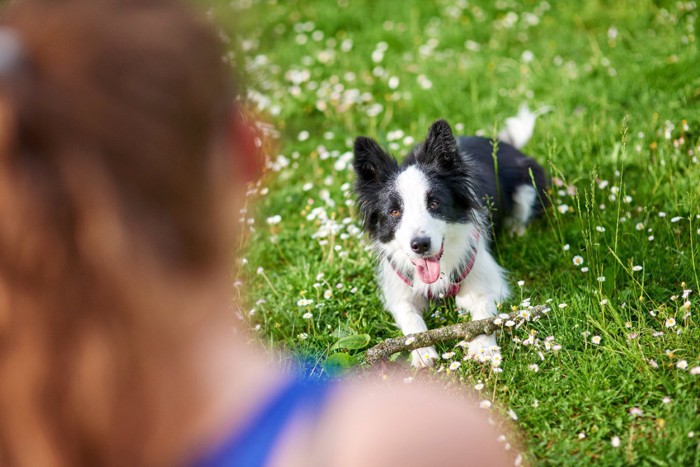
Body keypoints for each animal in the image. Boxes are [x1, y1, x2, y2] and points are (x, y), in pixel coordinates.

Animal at [356, 114, 548, 370]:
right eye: (395, 212)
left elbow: (484, 313)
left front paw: (483, 348)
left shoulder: (487, 279)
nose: (420, 245)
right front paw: (422, 352)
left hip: (527, 187)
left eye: (434, 203)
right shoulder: (399, 292)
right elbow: (410, 319)